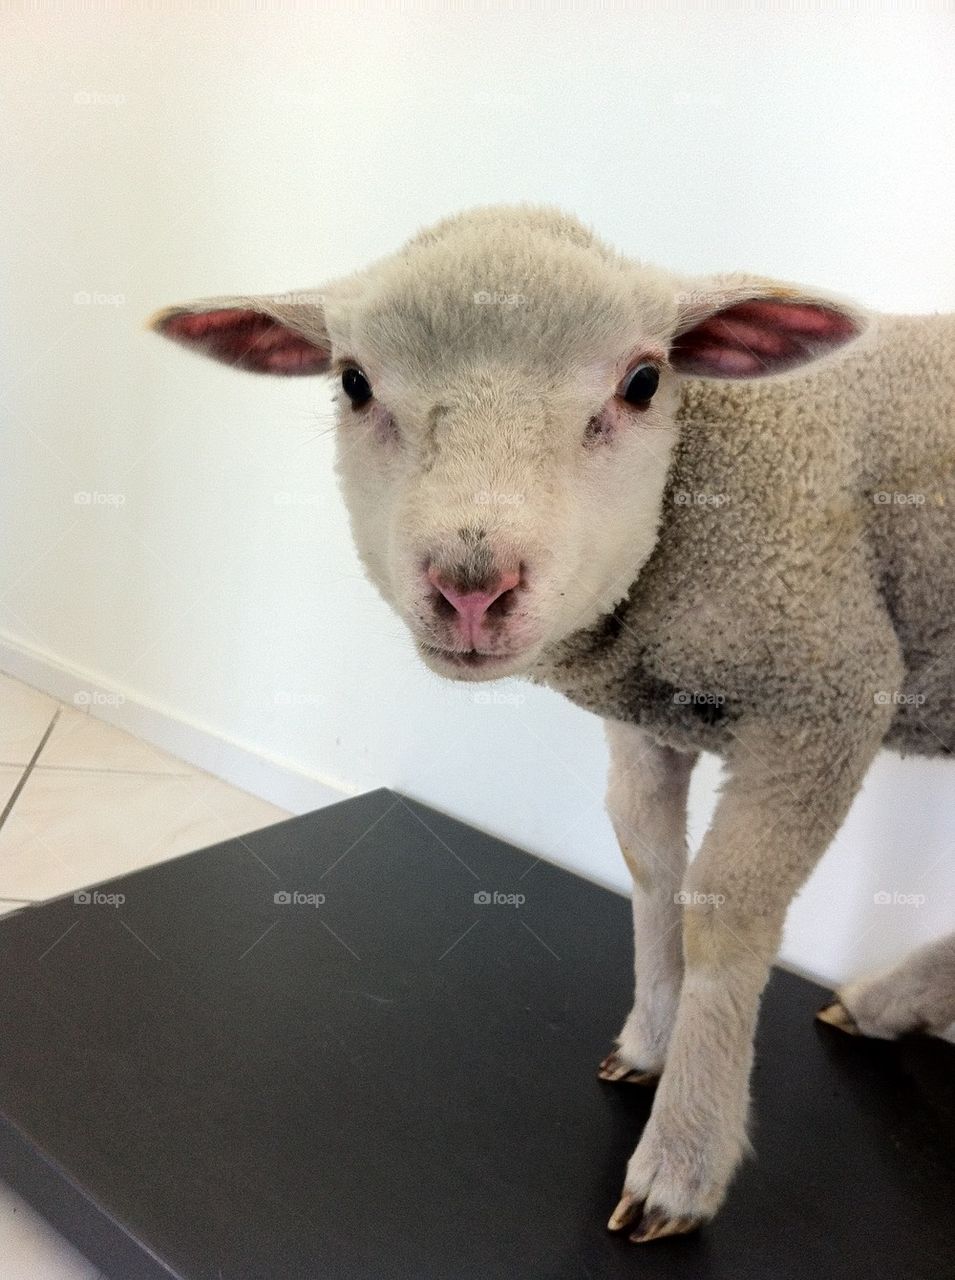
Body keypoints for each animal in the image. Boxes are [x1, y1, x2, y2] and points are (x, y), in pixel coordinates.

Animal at [149, 204, 955, 1243]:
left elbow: (724, 910)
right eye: (354, 381)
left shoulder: (824, 691)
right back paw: (890, 1002)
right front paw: (649, 1044)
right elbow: (651, 865)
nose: (470, 586)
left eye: (645, 380)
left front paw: (682, 1159)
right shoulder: (648, 715)